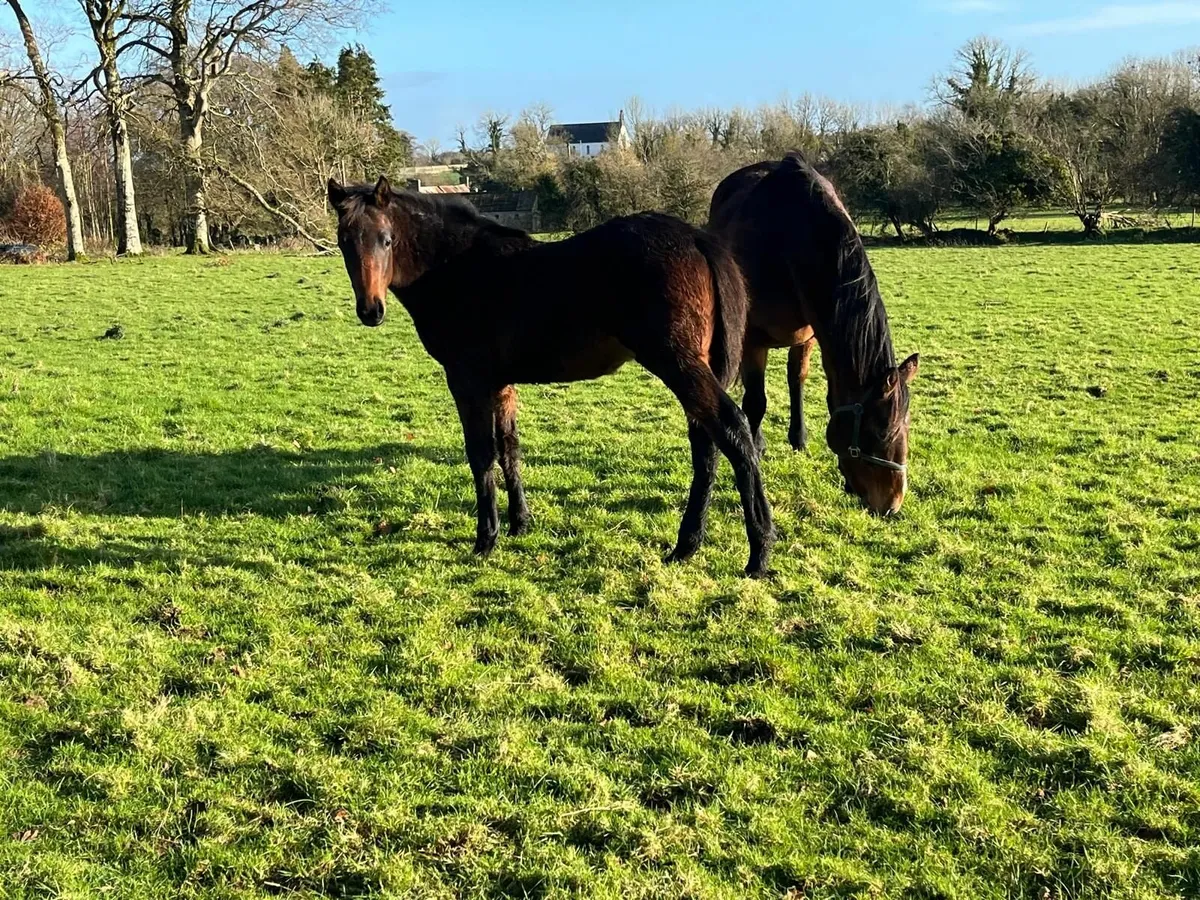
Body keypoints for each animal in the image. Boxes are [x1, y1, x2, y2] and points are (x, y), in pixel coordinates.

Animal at [327, 176, 775, 576]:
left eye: (386, 240)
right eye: (344, 241)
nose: (370, 311)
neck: (456, 270)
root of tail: (696, 238)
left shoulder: (467, 380)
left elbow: (481, 454)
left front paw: (486, 539)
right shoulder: (500, 384)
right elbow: (509, 447)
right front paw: (520, 524)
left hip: (676, 362)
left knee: (733, 431)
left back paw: (758, 552)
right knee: (707, 444)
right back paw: (687, 546)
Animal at [707, 153, 919, 516]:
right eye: (879, 433)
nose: (892, 505)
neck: (789, 242)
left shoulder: (809, 336)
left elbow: (803, 382)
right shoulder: (753, 341)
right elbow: (756, 402)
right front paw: (754, 453)